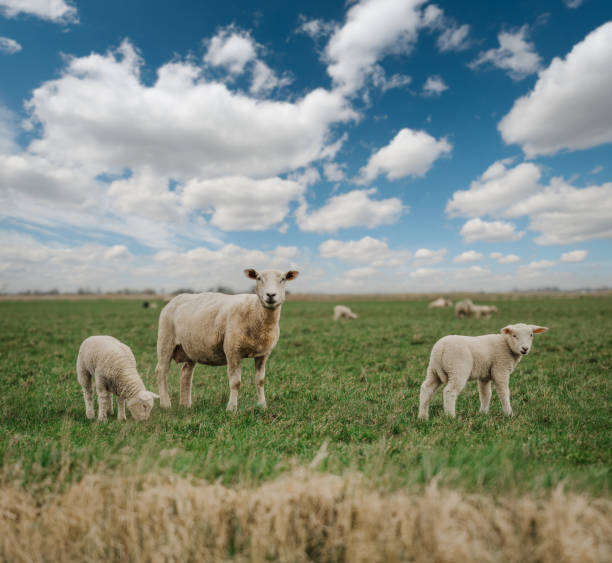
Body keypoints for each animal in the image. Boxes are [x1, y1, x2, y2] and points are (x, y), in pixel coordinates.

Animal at [155, 268, 298, 414]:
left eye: (283, 279)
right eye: (258, 278)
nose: (270, 295)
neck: (255, 311)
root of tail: (174, 300)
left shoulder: (263, 354)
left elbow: (260, 380)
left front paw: (262, 406)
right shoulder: (232, 350)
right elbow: (235, 382)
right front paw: (232, 409)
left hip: (190, 347)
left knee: (185, 374)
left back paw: (186, 405)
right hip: (165, 339)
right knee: (161, 371)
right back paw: (166, 404)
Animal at [418, 324, 548, 420]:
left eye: (531, 335)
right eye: (514, 335)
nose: (525, 349)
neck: (506, 345)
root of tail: (441, 348)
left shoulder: (484, 375)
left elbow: (485, 394)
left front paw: (483, 413)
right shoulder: (500, 369)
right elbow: (504, 392)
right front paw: (509, 414)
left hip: (433, 370)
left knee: (426, 388)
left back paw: (423, 416)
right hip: (457, 369)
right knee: (450, 391)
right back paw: (451, 416)